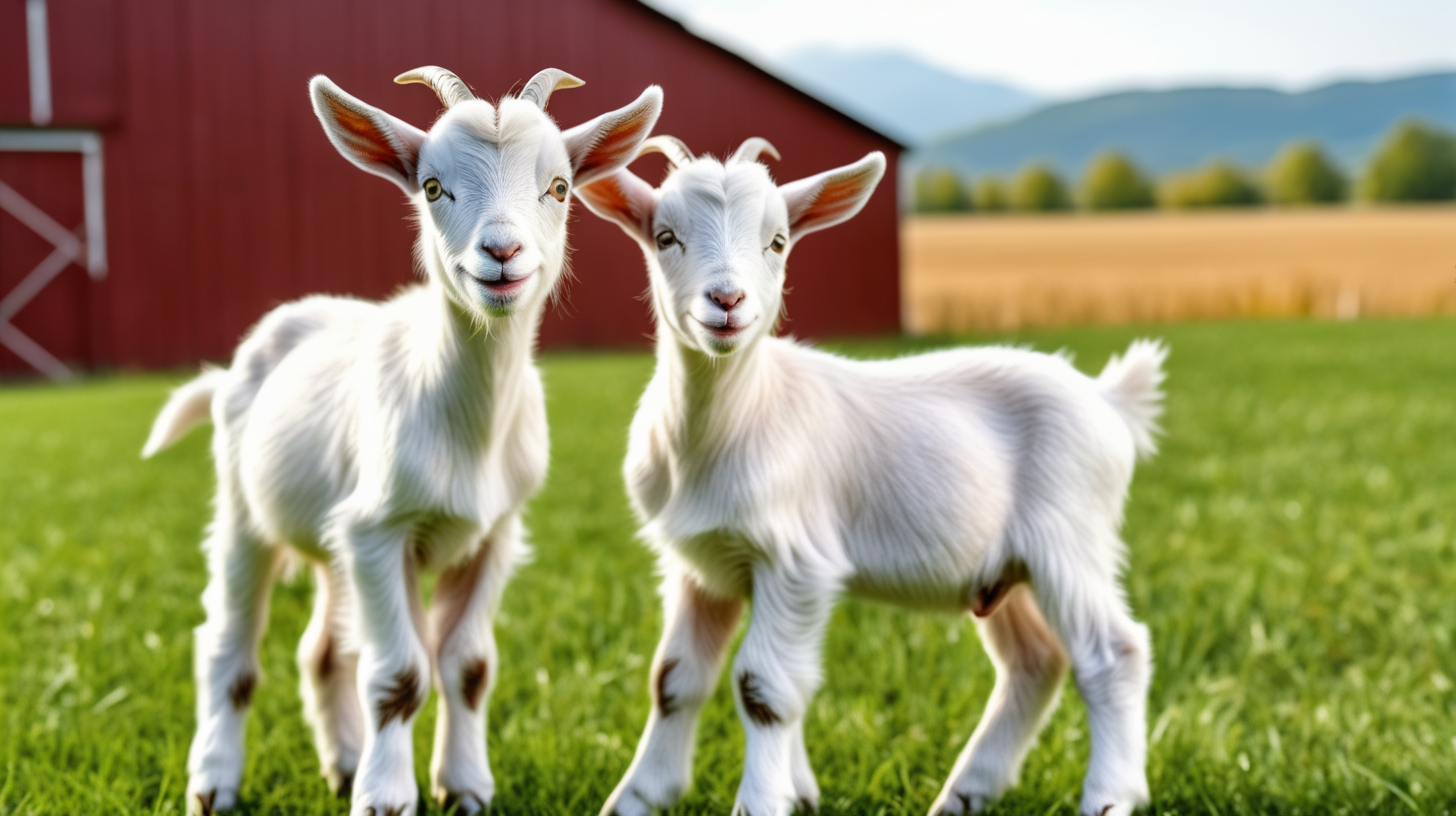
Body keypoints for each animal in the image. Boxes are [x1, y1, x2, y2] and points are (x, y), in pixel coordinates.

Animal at [139, 65, 663, 816]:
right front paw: (386, 798)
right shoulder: (380, 531)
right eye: (433, 187)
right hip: (246, 509)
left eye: (560, 187)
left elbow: (468, 666)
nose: (501, 252)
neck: (466, 424)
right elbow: (399, 675)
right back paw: (214, 782)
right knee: (228, 643)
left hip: (334, 537)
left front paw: (463, 786)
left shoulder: (492, 532)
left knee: (322, 650)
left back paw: (342, 762)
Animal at [579, 139, 1170, 816]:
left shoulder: (797, 562)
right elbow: (674, 680)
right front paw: (641, 798)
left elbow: (764, 689)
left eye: (777, 241)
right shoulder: (702, 566)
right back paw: (965, 794)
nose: (727, 302)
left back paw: (1106, 796)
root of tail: (1109, 399)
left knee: (1113, 652)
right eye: (665, 236)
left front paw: (762, 799)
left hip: (1069, 535)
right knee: (1036, 661)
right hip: (1006, 569)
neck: (733, 421)